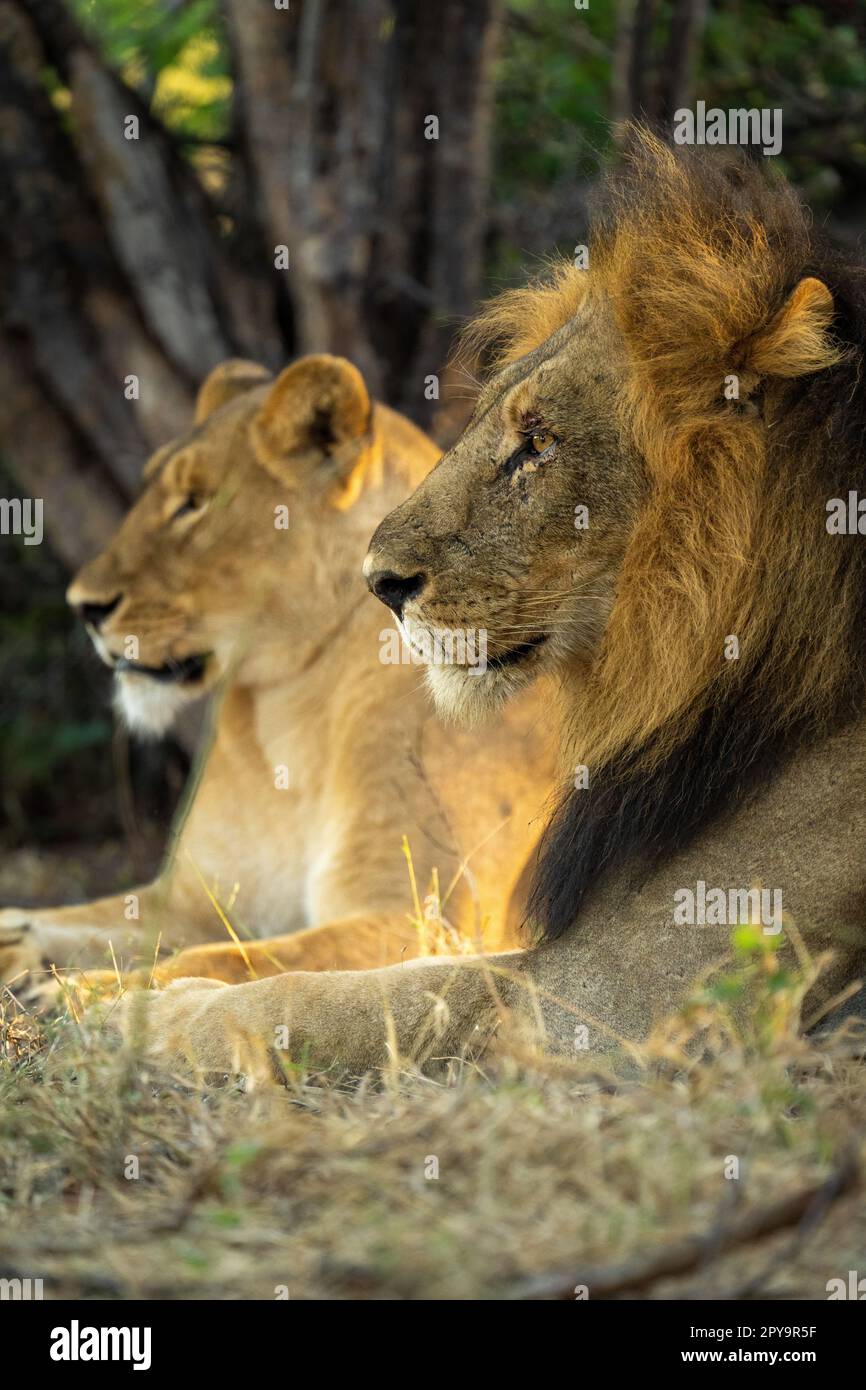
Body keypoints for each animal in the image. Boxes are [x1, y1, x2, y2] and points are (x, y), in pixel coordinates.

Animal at [0, 355, 556, 989]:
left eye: (194, 502)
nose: (83, 608)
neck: (287, 713)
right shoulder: (192, 899)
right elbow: (81, 921)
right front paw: (21, 947)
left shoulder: (419, 918)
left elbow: (230, 959)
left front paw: (81, 991)